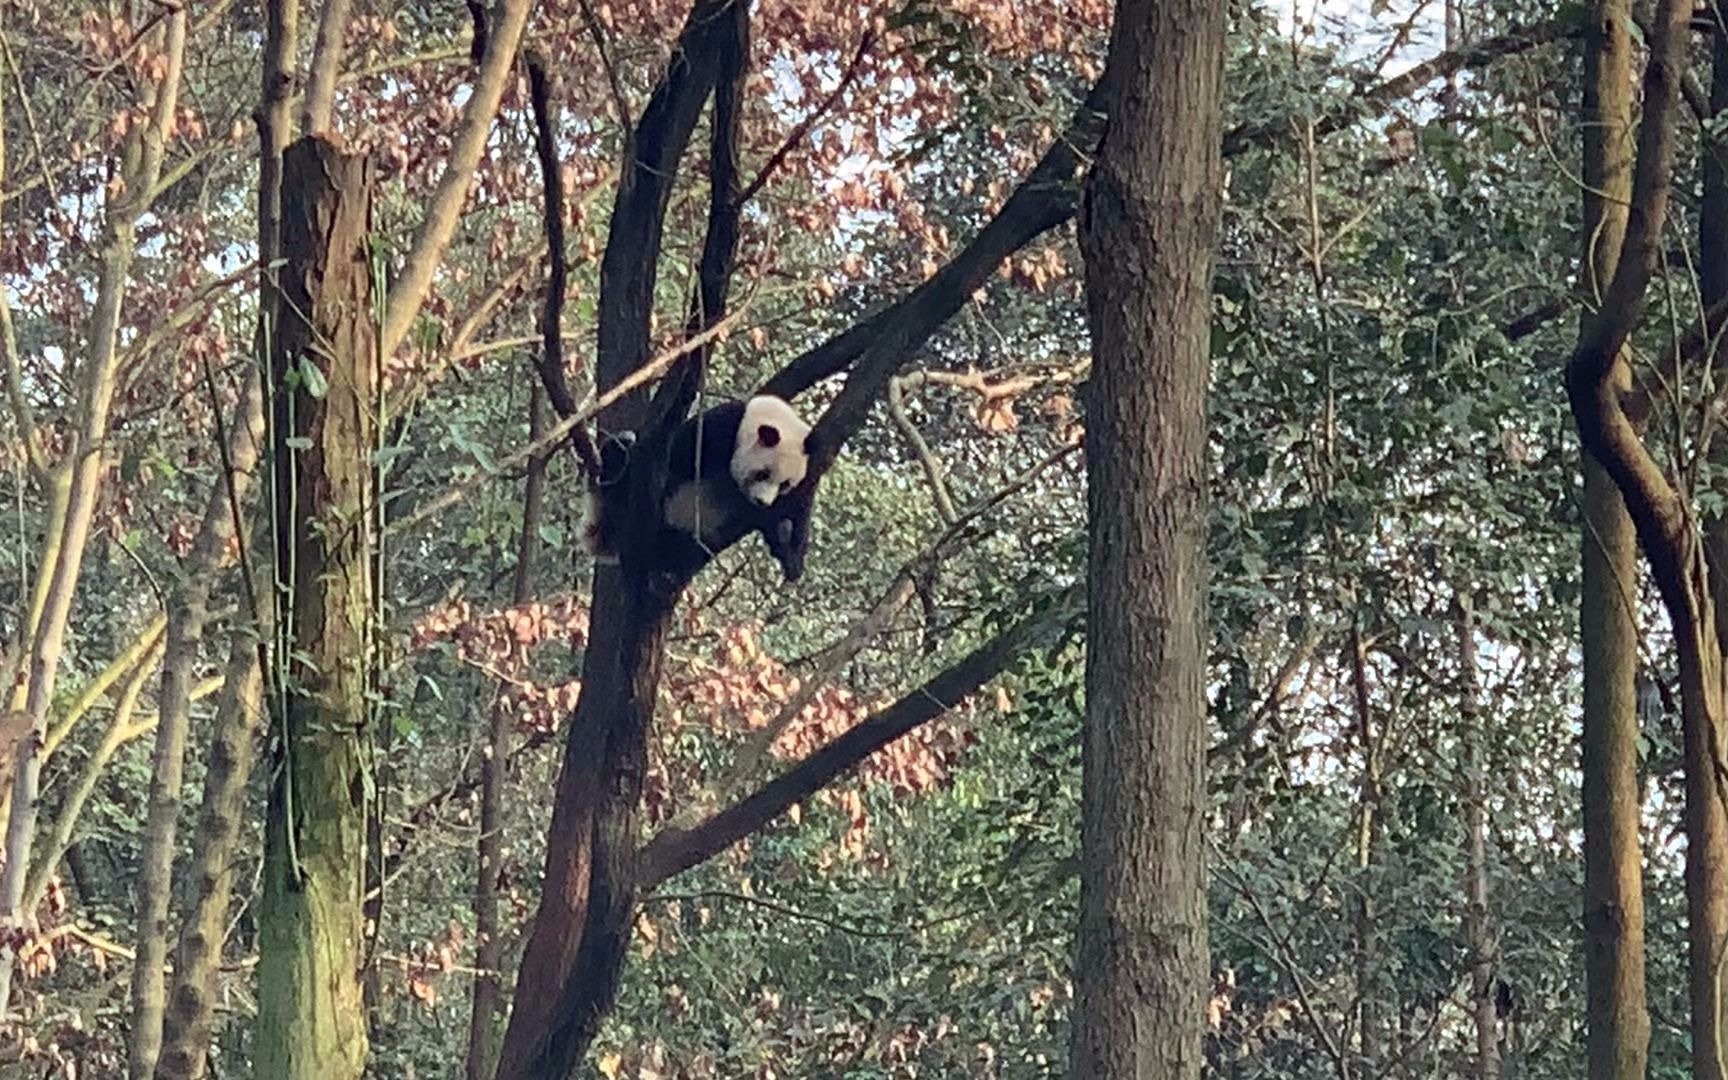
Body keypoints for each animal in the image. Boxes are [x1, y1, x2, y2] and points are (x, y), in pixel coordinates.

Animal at [584, 393, 819, 577]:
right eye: (763, 474)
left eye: (784, 485)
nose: (762, 502)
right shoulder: (717, 431)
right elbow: (672, 455)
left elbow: (795, 511)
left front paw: (791, 556)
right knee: (619, 455)